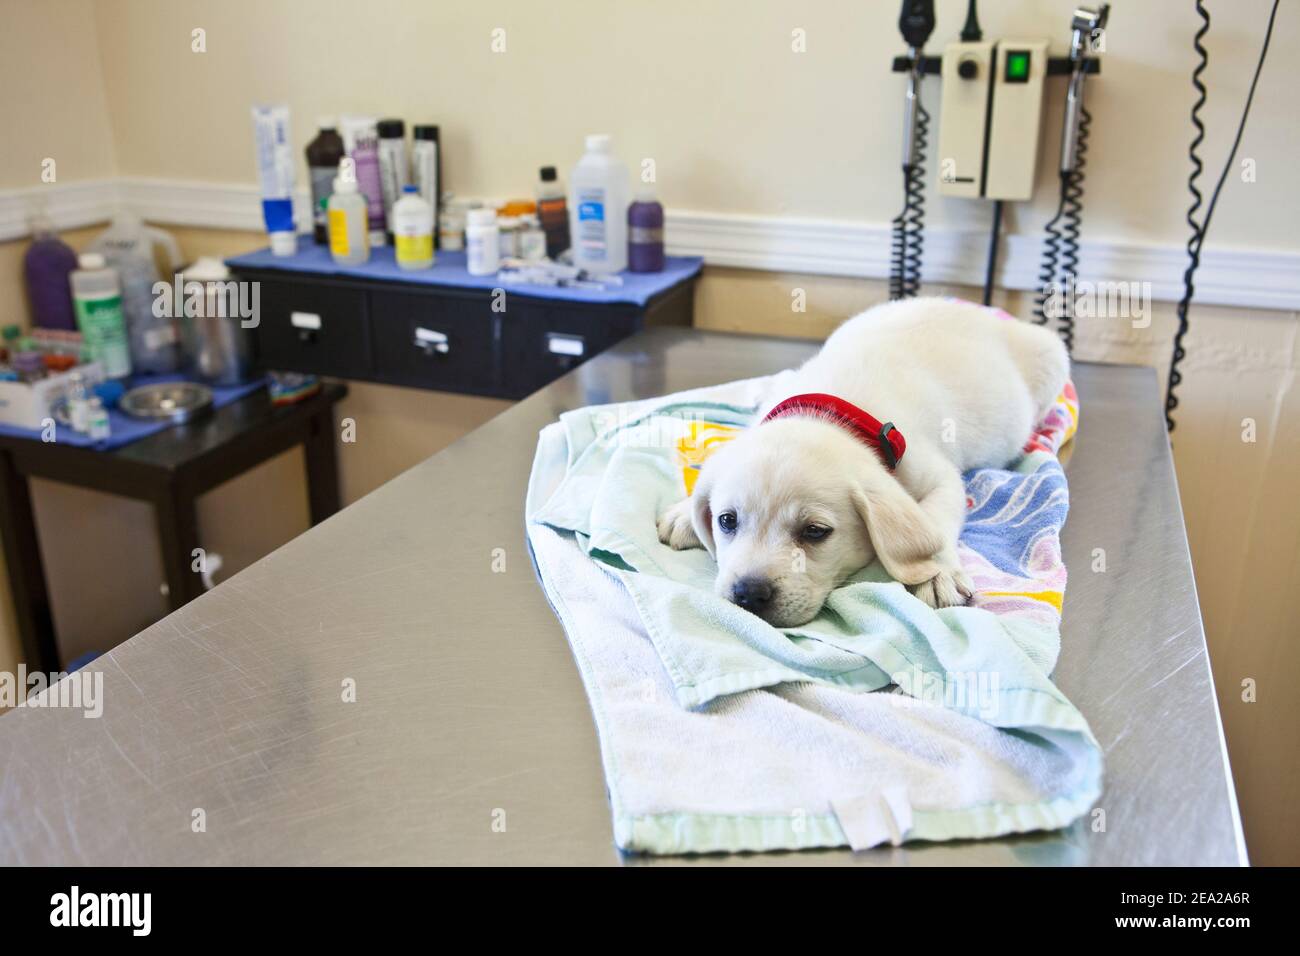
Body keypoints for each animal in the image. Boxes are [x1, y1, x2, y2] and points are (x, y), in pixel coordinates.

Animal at [655, 299, 1071, 629]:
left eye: (815, 532)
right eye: (727, 521)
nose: (748, 594)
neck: (831, 413)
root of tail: (978, 311)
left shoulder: (940, 477)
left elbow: (933, 521)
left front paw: (936, 571)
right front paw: (683, 512)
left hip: (1051, 358)